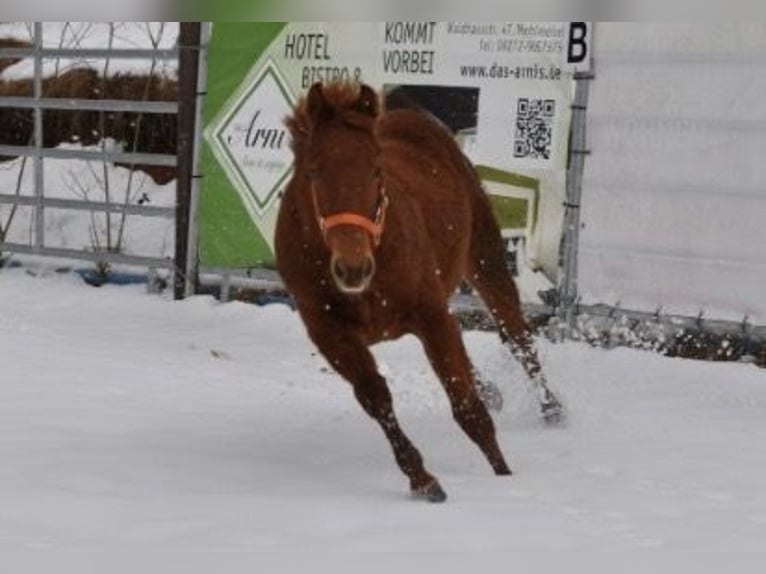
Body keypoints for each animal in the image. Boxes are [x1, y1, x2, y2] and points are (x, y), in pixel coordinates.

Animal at [275, 81, 562, 502]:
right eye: (313, 172)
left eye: (377, 169)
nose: (353, 267)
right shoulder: (330, 333)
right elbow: (375, 396)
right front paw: (423, 480)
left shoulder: (430, 314)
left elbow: (466, 404)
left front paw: (503, 475)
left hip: (485, 256)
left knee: (516, 334)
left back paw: (552, 409)